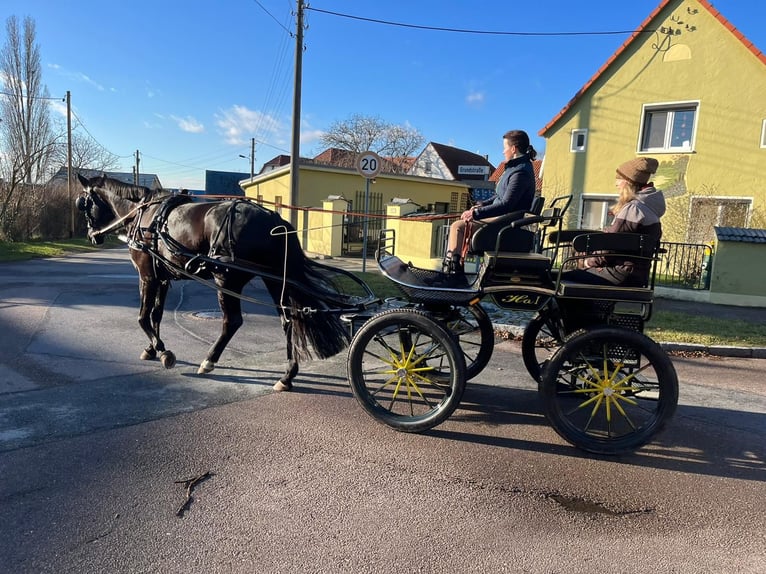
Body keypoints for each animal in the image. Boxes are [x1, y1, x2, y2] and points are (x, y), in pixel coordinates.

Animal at [73, 173, 350, 394]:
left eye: (83, 204)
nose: (92, 236)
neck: (145, 216)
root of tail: (275, 221)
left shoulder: (147, 276)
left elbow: (142, 317)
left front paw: (163, 352)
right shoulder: (163, 278)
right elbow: (156, 315)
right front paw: (152, 349)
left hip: (227, 278)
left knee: (232, 321)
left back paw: (209, 361)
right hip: (274, 280)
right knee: (288, 319)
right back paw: (287, 375)